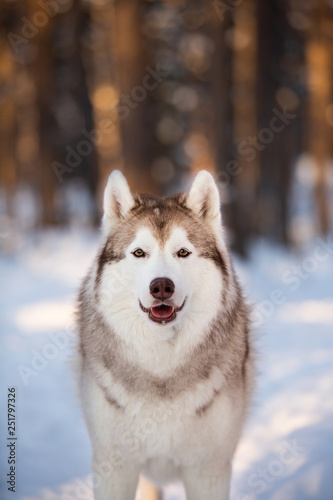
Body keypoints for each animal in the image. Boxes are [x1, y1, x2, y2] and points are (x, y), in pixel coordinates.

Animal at [77, 171, 254, 500]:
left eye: (182, 252)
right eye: (139, 253)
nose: (161, 286)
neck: (161, 367)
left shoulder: (208, 469)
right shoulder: (114, 467)